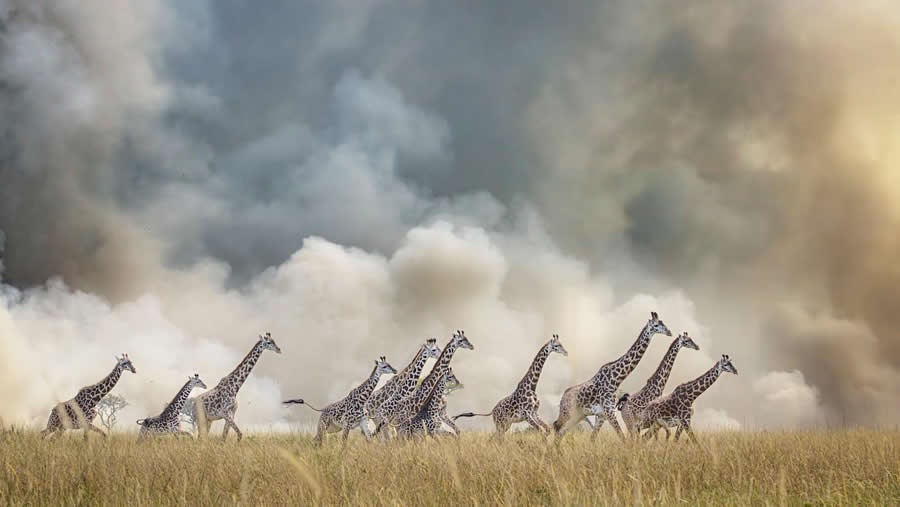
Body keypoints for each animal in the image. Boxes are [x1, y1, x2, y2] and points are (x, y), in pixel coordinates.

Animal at [553, 312, 672, 440]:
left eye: (663, 322)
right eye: (656, 325)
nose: (669, 332)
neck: (616, 379)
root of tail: (562, 397)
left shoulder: (603, 415)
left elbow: (593, 438)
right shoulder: (609, 412)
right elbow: (622, 438)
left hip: (578, 415)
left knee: (560, 432)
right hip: (567, 414)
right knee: (556, 427)